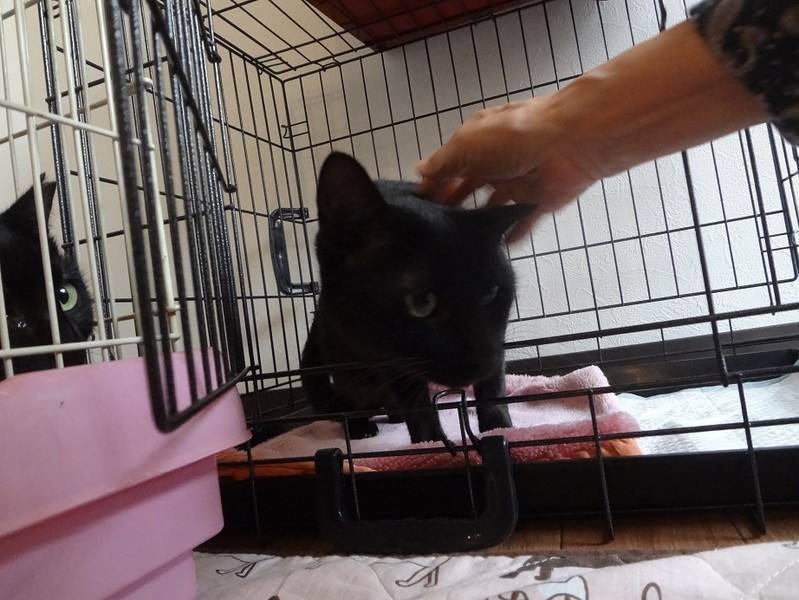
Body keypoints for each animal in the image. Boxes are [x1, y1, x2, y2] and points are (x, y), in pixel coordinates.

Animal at [300, 152, 534, 443]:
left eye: (490, 294)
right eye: (421, 303)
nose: (484, 358)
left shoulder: (496, 339)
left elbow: (493, 387)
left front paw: (500, 429)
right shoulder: (391, 356)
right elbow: (416, 402)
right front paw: (430, 443)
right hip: (348, 368)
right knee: (351, 399)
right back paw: (359, 427)